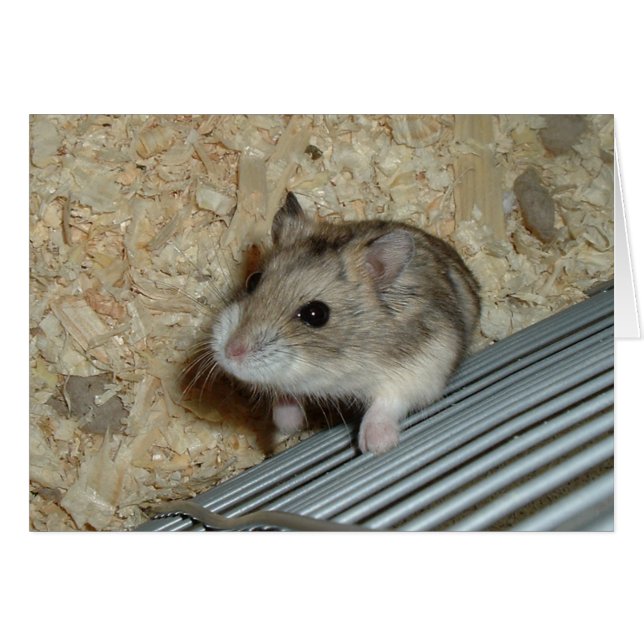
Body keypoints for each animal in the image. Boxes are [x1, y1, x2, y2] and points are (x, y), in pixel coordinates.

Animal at [209, 192, 480, 455]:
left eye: (316, 314)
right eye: (253, 280)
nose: (231, 352)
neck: (339, 364)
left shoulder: (424, 367)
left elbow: (388, 402)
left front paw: (375, 447)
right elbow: (285, 394)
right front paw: (287, 427)